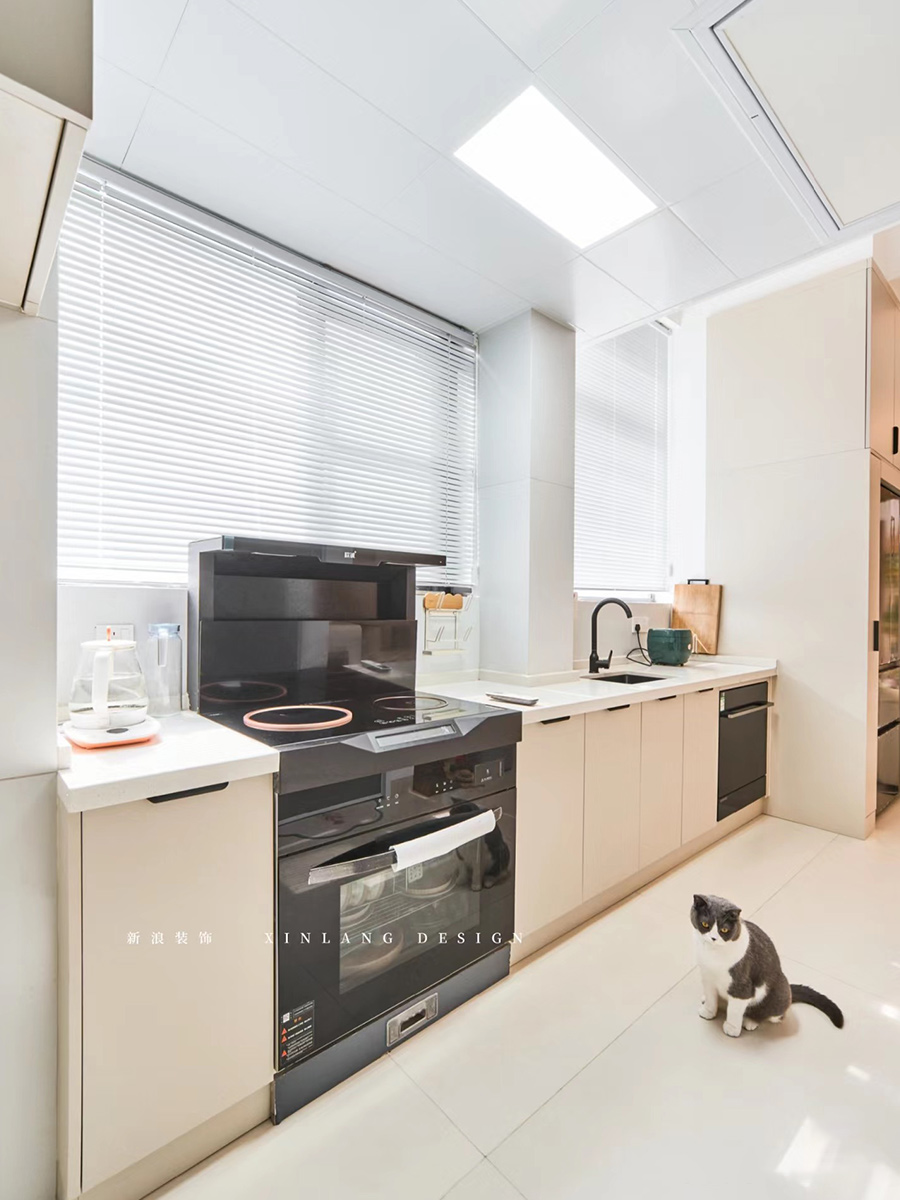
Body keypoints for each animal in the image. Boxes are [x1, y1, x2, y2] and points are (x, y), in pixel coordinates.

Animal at [691, 894, 844, 1037]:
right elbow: (711, 998)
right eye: (705, 924)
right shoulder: (707, 977)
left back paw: (750, 1021)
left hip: (779, 993)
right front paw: (708, 1012)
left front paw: (732, 1029)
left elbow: (734, 1010)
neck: (713, 954)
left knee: (772, 1015)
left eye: (724, 930)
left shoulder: (741, 987)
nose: (713, 938)